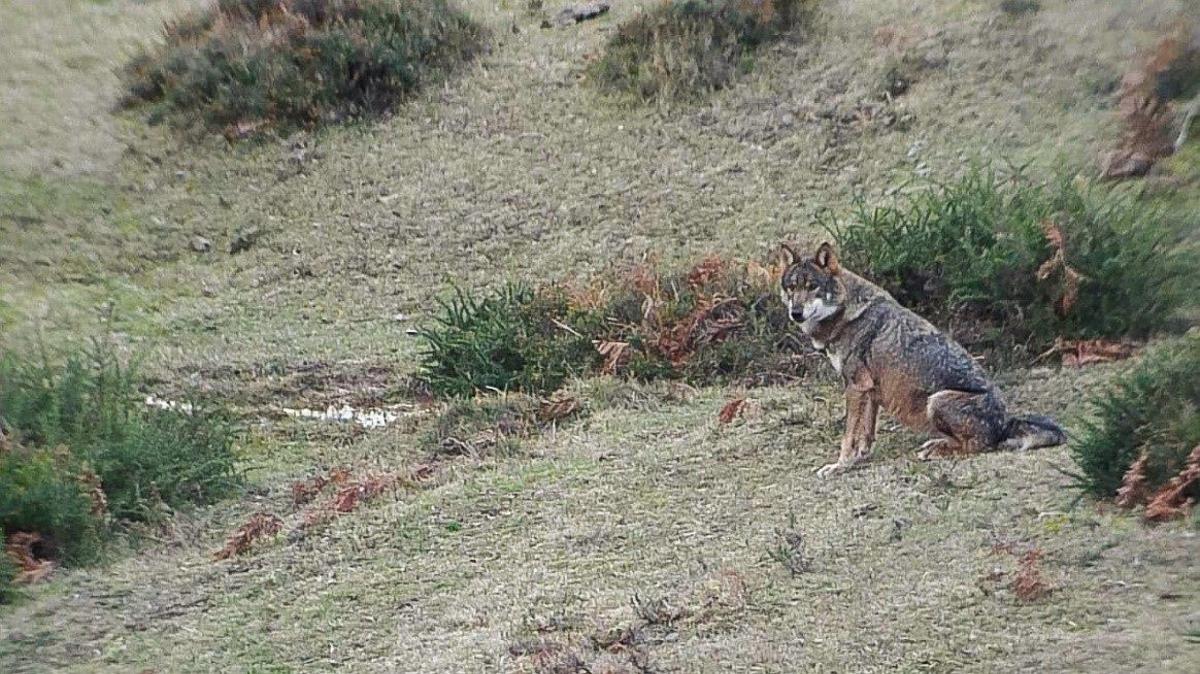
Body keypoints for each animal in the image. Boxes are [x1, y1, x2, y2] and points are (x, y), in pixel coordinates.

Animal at [777, 238, 1070, 474]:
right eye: (791, 288)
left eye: (812, 287)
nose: (796, 313)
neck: (845, 314)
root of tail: (1005, 423)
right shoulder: (869, 390)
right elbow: (865, 435)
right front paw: (859, 461)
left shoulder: (856, 387)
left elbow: (848, 436)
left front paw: (840, 466)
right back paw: (934, 444)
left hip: (937, 401)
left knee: (979, 446)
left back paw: (936, 451)